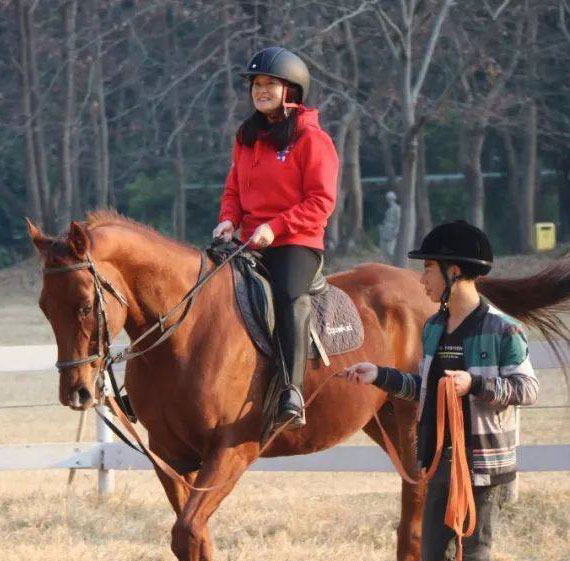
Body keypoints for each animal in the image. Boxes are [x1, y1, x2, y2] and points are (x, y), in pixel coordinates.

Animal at [27, 211, 570, 561]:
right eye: (43, 307)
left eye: (82, 304)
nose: (76, 392)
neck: (184, 329)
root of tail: (418, 286)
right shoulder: (172, 458)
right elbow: (193, 536)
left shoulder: (233, 449)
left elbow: (188, 533)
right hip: (387, 424)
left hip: (414, 424)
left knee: (420, 514)